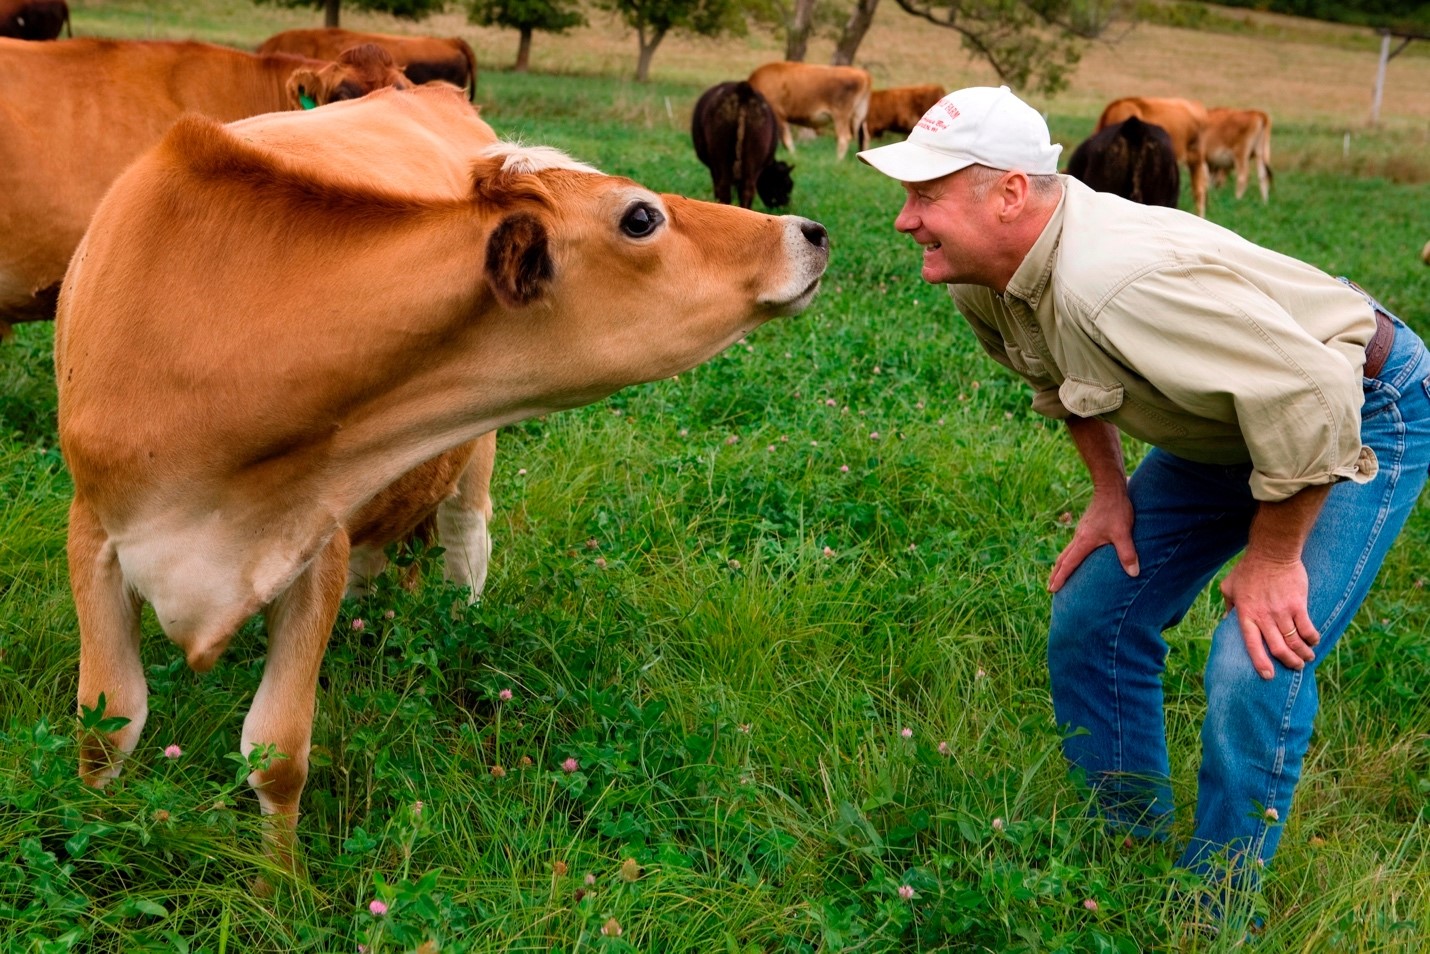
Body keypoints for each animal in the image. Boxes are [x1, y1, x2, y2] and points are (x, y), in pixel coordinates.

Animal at [689, 81, 795, 210]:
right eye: (786, 184)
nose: (786, 203)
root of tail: (743, 89)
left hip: (724, 159)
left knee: (728, 189)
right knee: (743, 190)